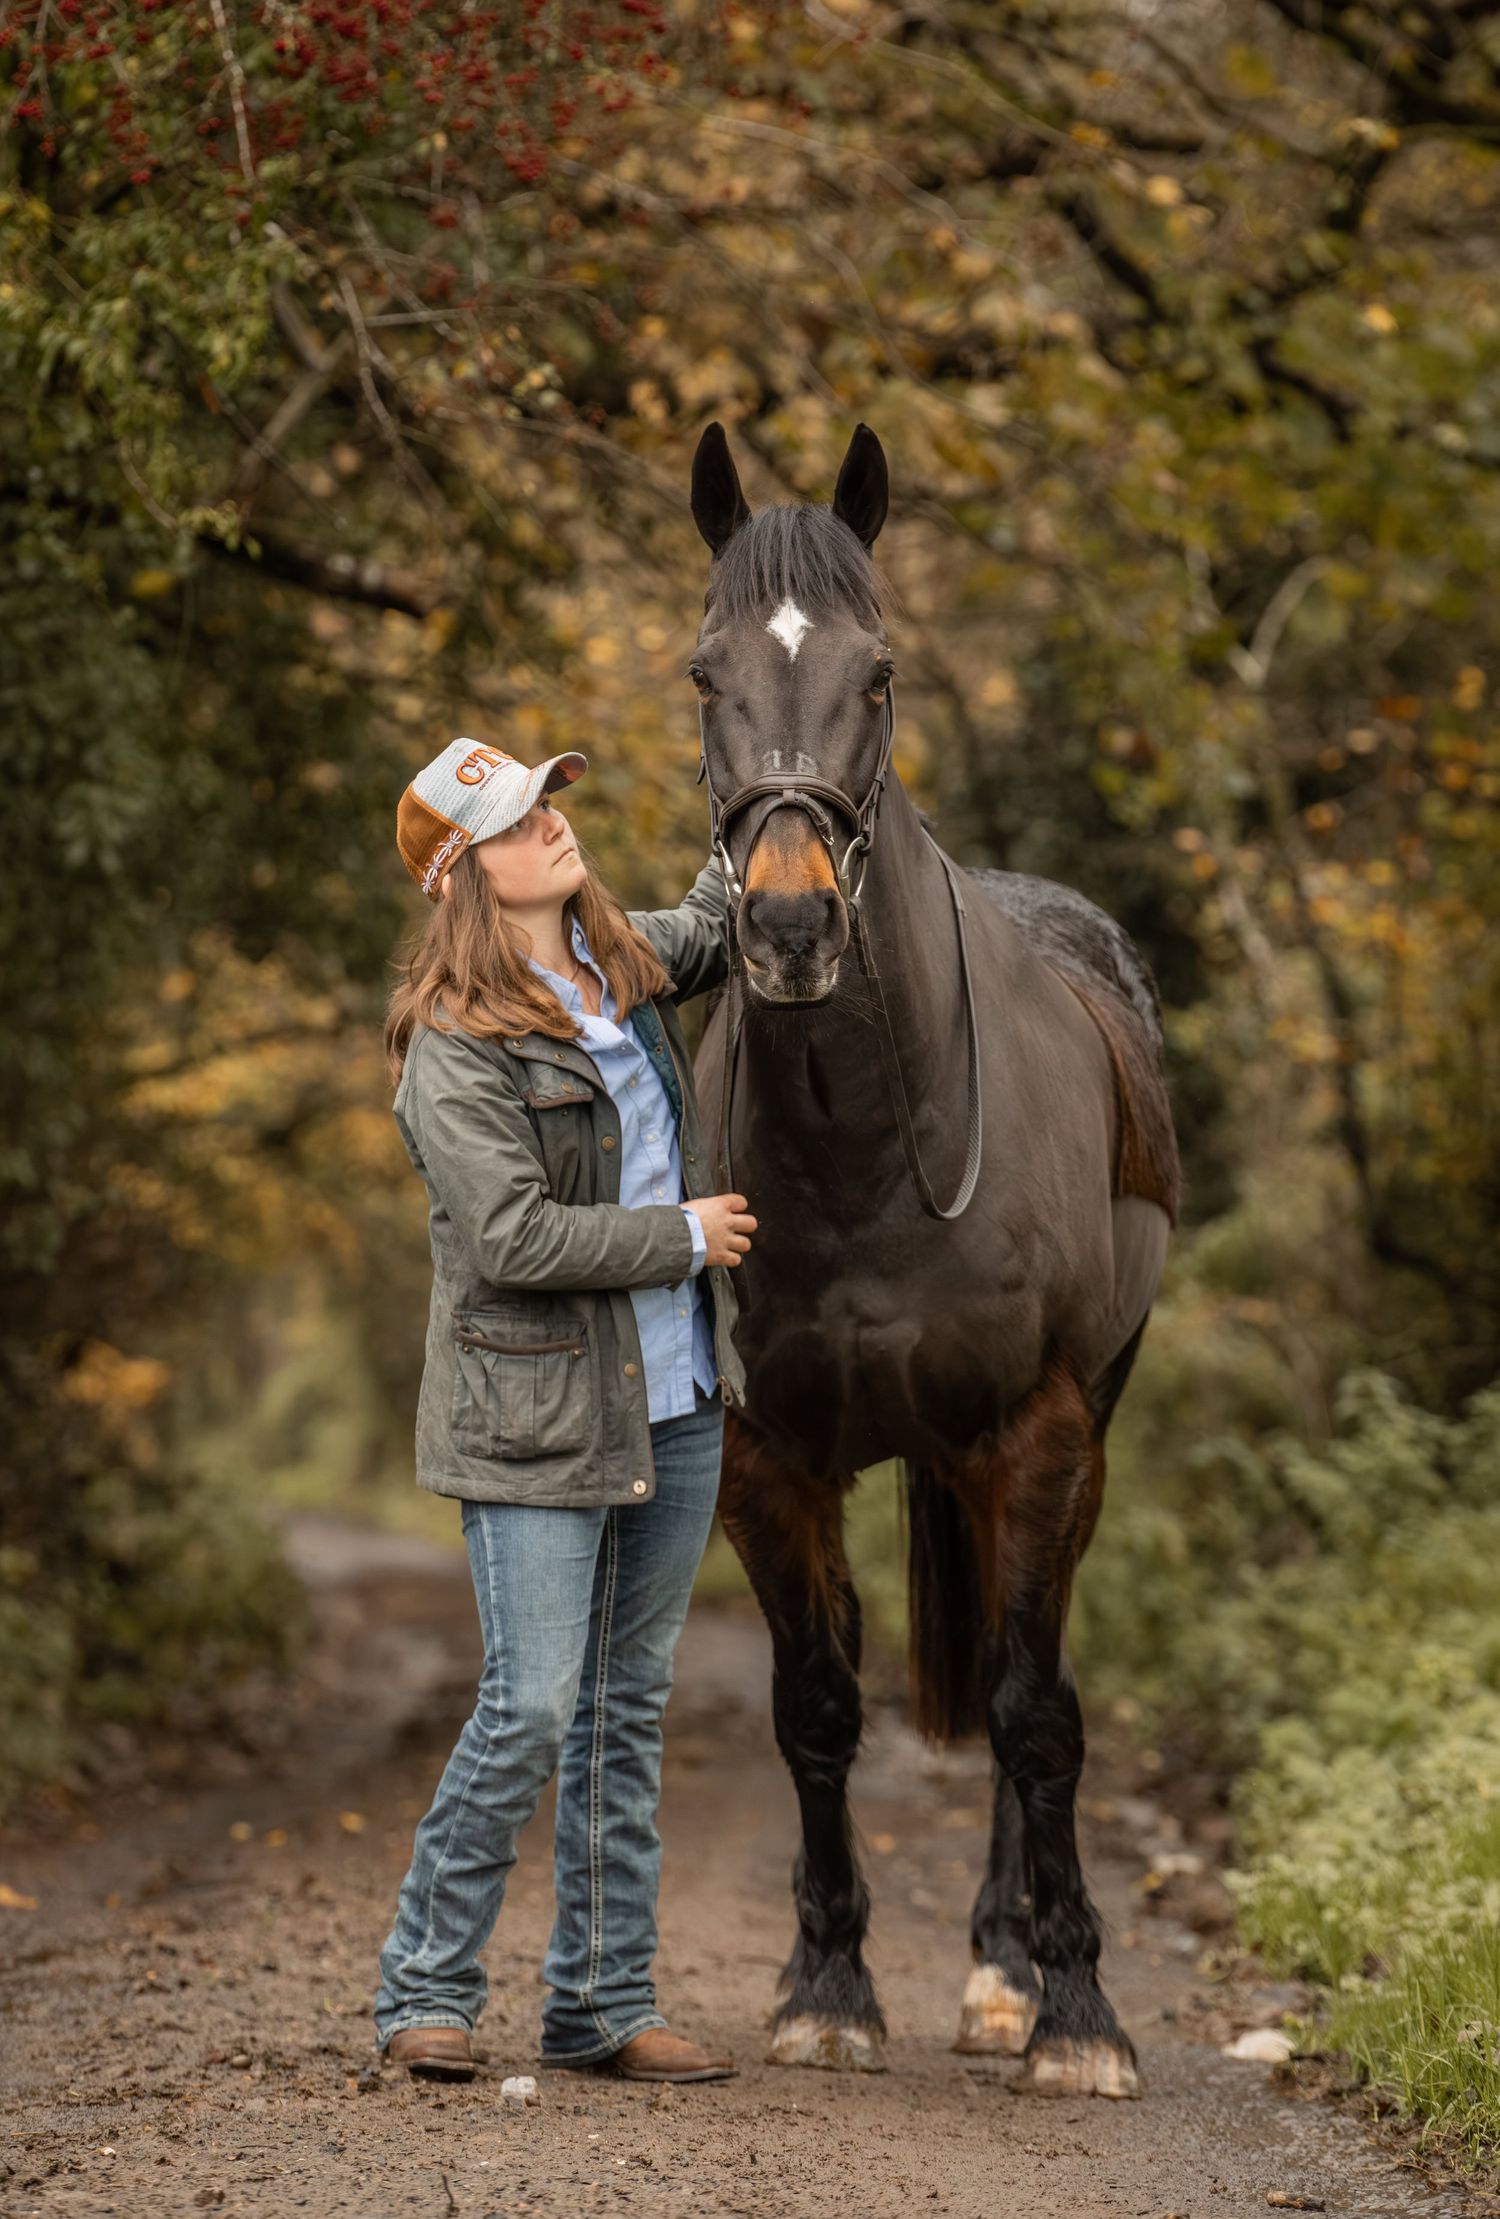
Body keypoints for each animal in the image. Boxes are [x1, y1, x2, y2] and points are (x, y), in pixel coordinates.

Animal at [687, 421, 1180, 2099]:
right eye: (702, 671)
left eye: (880, 671)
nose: (784, 928)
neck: (870, 1154)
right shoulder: (768, 1455)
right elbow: (817, 1705)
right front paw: (825, 1982)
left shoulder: (1032, 1434)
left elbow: (1038, 1715)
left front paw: (1076, 2008)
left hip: (1075, 1435)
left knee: (1038, 1680)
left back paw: (1008, 1964)